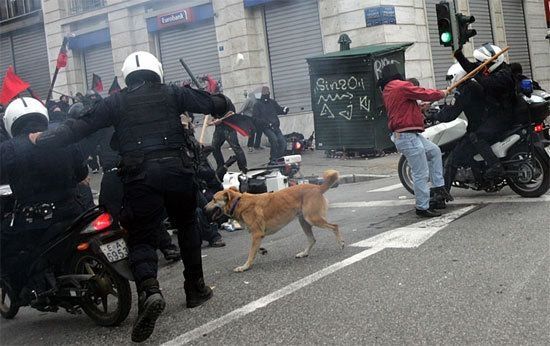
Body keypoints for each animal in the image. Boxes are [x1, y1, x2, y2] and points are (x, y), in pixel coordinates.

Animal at [206, 169, 344, 272]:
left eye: (213, 199)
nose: (204, 208)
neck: (238, 202)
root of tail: (317, 187)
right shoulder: (257, 236)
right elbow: (254, 250)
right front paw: (260, 252)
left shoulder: (257, 234)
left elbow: (251, 253)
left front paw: (245, 266)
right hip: (304, 221)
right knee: (312, 239)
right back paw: (304, 253)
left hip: (312, 219)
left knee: (335, 226)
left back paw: (341, 243)